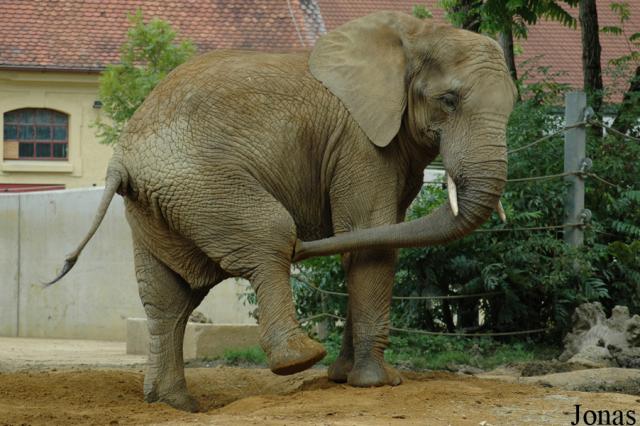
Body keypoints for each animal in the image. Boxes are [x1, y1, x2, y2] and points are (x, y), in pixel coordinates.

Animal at [47, 11, 516, 412]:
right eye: (449, 100)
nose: (305, 247)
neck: (416, 34)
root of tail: (121, 157)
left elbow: (368, 240)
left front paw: (343, 378)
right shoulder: (360, 142)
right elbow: (371, 235)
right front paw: (376, 383)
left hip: (155, 203)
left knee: (169, 295)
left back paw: (173, 404)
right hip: (201, 182)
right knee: (269, 235)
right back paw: (298, 359)